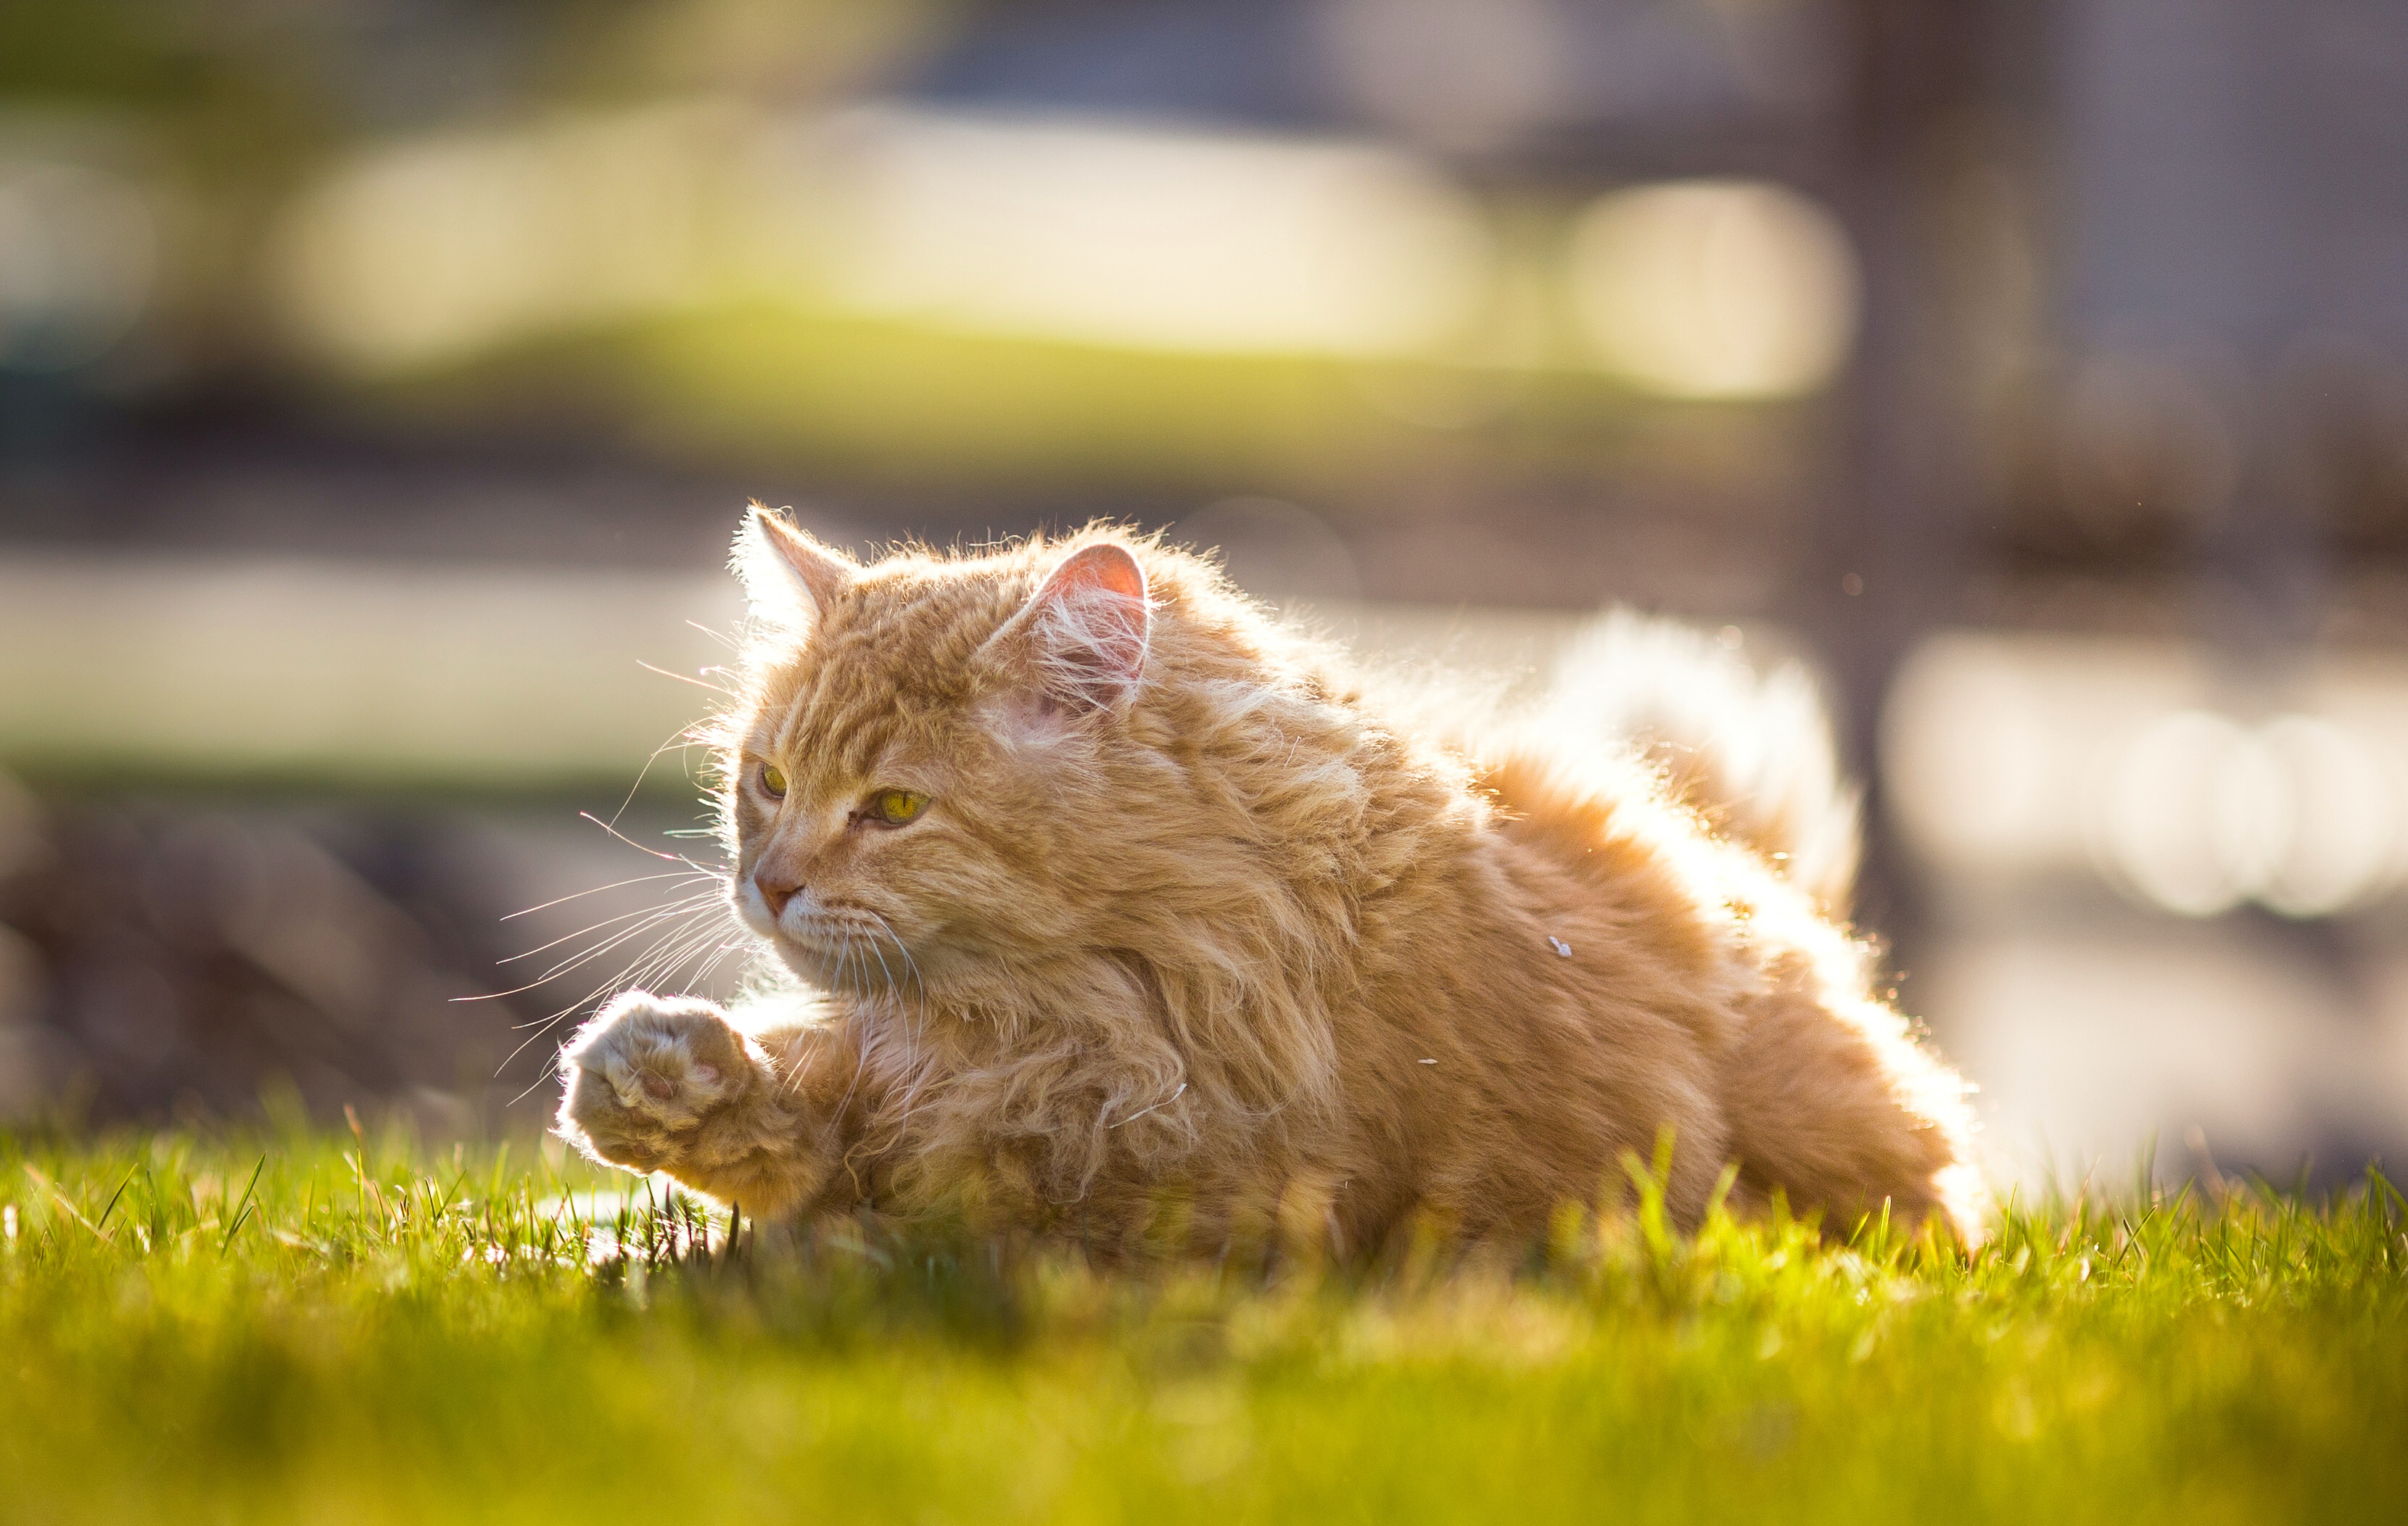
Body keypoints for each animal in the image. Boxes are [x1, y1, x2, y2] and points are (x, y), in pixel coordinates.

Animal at [553, 505, 1984, 1242]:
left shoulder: (1160, 1185)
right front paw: (658, 1082)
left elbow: (885, 1207)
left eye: (894, 808)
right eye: (769, 782)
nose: (768, 883)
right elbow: (802, 1122)